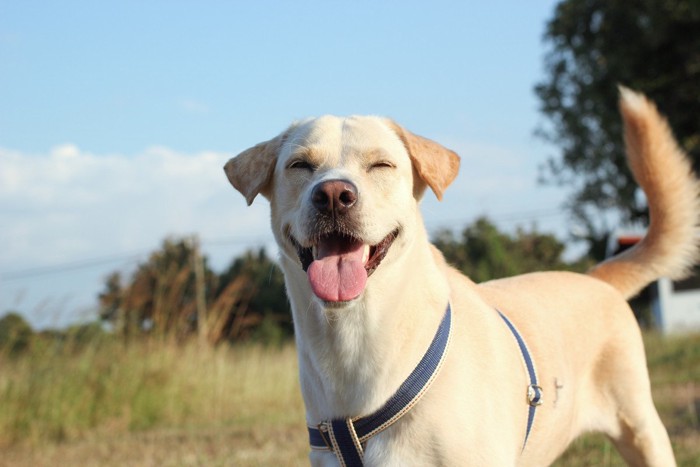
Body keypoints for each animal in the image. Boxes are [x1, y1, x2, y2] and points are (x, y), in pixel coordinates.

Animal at [227, 88, 696, 467]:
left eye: (381, 165)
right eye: (300, 165)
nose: (333, 195)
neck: (356, 340)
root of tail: (597, 279)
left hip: (643, 430)